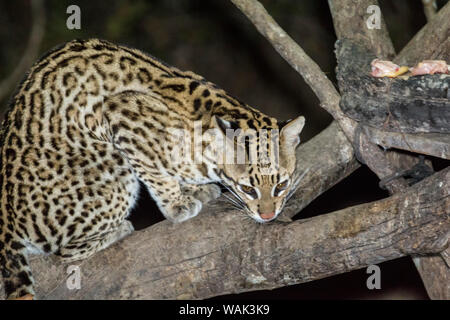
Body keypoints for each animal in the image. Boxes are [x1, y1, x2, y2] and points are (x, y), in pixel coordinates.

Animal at [0, 38, 304, 298]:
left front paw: (195, 188)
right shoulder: (122, 114)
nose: (268, 216)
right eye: (247, 189)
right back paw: (119, 229)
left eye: (281, 185)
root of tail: (6, 221)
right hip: (113, 164)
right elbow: (157, 174)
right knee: (64, 251)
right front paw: (177, 203)